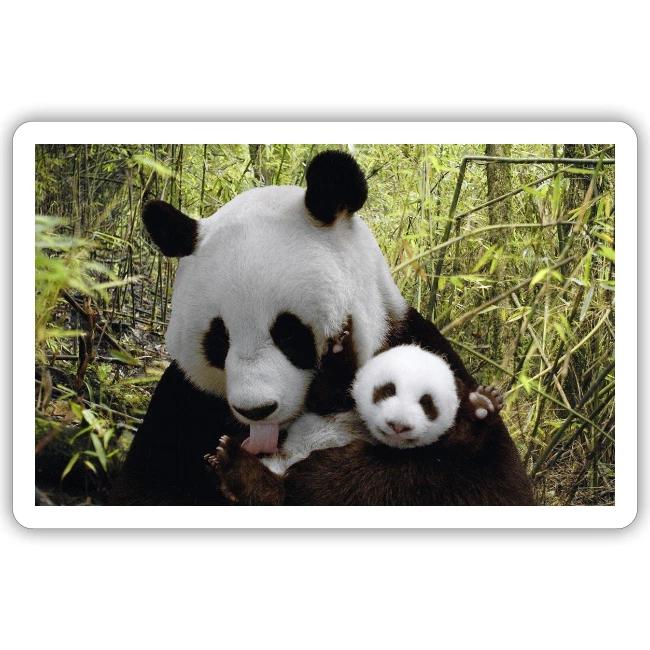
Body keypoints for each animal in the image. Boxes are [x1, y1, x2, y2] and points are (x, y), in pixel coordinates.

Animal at [204, 345, 530, 506]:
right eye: (388, 389)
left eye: (427, 403)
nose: (398, 425)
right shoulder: (342, 401)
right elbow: (326, 393)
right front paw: (338, 349)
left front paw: (483, 407)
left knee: (276, 494)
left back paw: (235, 463)